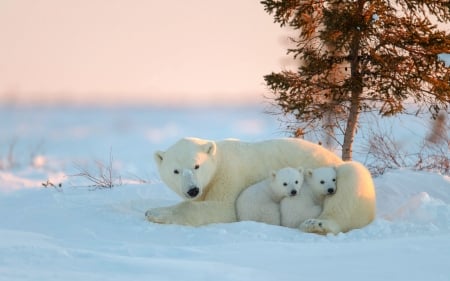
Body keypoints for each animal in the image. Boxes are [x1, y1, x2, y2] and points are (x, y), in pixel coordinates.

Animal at [145, 136, 376, 232]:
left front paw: (155, 212)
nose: (192, 190)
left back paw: (317, 224)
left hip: (338, 174)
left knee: (351, 183)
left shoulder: (230, 175)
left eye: (197, 165)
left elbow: (223, 209)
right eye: (175, 171)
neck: (219, 159)